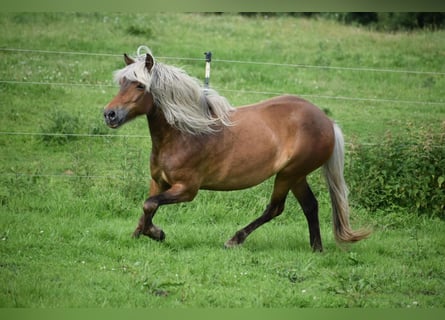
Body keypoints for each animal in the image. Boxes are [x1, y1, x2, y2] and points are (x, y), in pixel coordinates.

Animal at [103, 46, 368, 251]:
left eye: (139, 86)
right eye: (122, 82)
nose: (109, 114)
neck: (184, 134)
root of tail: (327, 122)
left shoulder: (187, 189)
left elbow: (149, 204)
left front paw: (157, 234)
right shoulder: (158, 182)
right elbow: (147, 207)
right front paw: (140, 234)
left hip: (289, 173)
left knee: (276, 208)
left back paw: (235, 239)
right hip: (296, 176)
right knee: (310, 206)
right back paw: (316, 249)